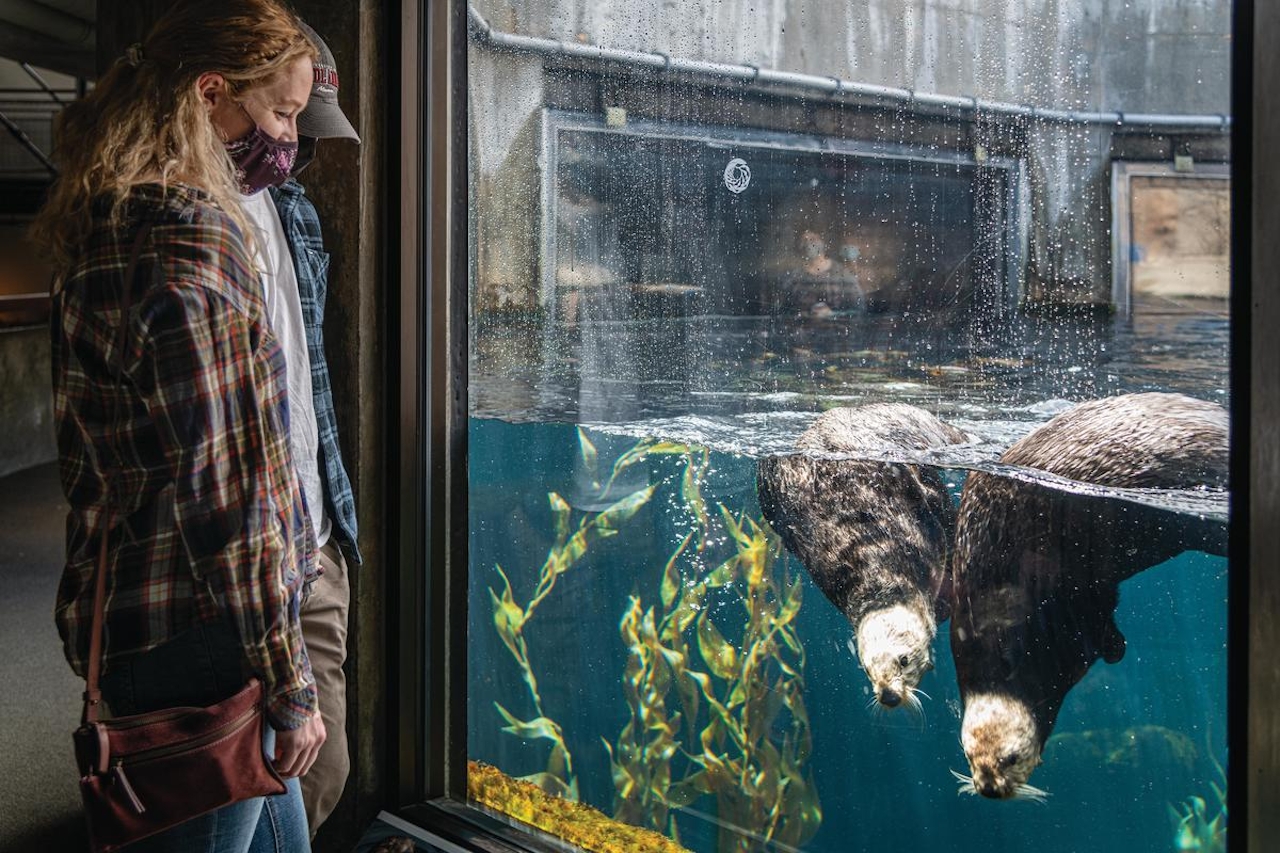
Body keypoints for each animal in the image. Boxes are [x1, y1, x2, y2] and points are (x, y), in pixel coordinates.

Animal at [952, 389, 1228, 799]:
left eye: (1010, 759)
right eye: (969, 756)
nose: (988, 787)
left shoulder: (1065, 611)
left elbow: (1098, 624)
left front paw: (1116, 648)